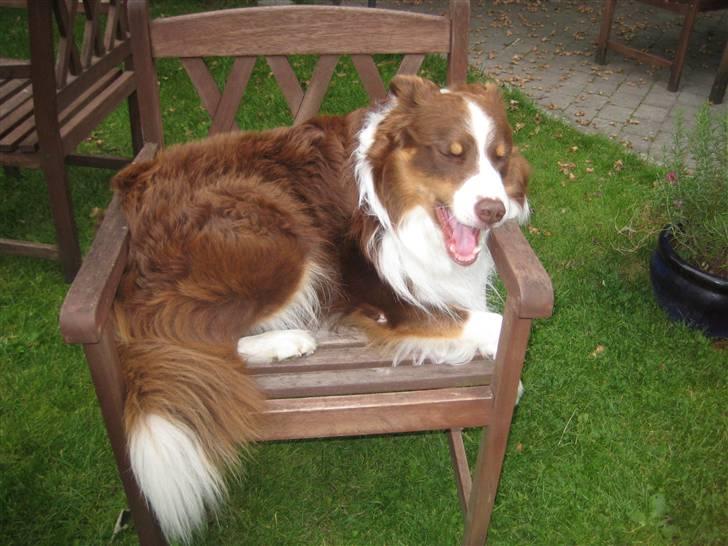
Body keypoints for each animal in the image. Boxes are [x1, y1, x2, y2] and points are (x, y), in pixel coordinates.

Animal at [115, 75, 528, 540]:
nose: (493, 211)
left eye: (500, 158)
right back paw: (288, 341)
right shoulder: (386, 298)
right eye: (450, 153)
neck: (390, 199)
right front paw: (509, 373)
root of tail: (134, 188)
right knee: (198, 337)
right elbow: (489, 322)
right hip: (280, 232)